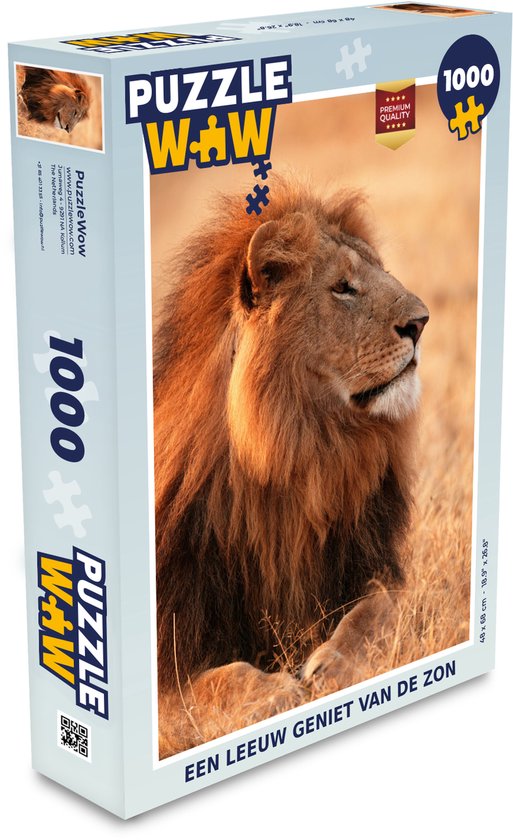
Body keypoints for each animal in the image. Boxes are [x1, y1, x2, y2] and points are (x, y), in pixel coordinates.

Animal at [154, 177, 429, 757]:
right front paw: (273, 693)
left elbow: (377, 612)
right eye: (343, 287)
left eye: (379, 271)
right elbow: (207, 685)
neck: (303, 458)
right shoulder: (169, 648)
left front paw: (333, 666)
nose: (421, 322)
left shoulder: (374, 570)